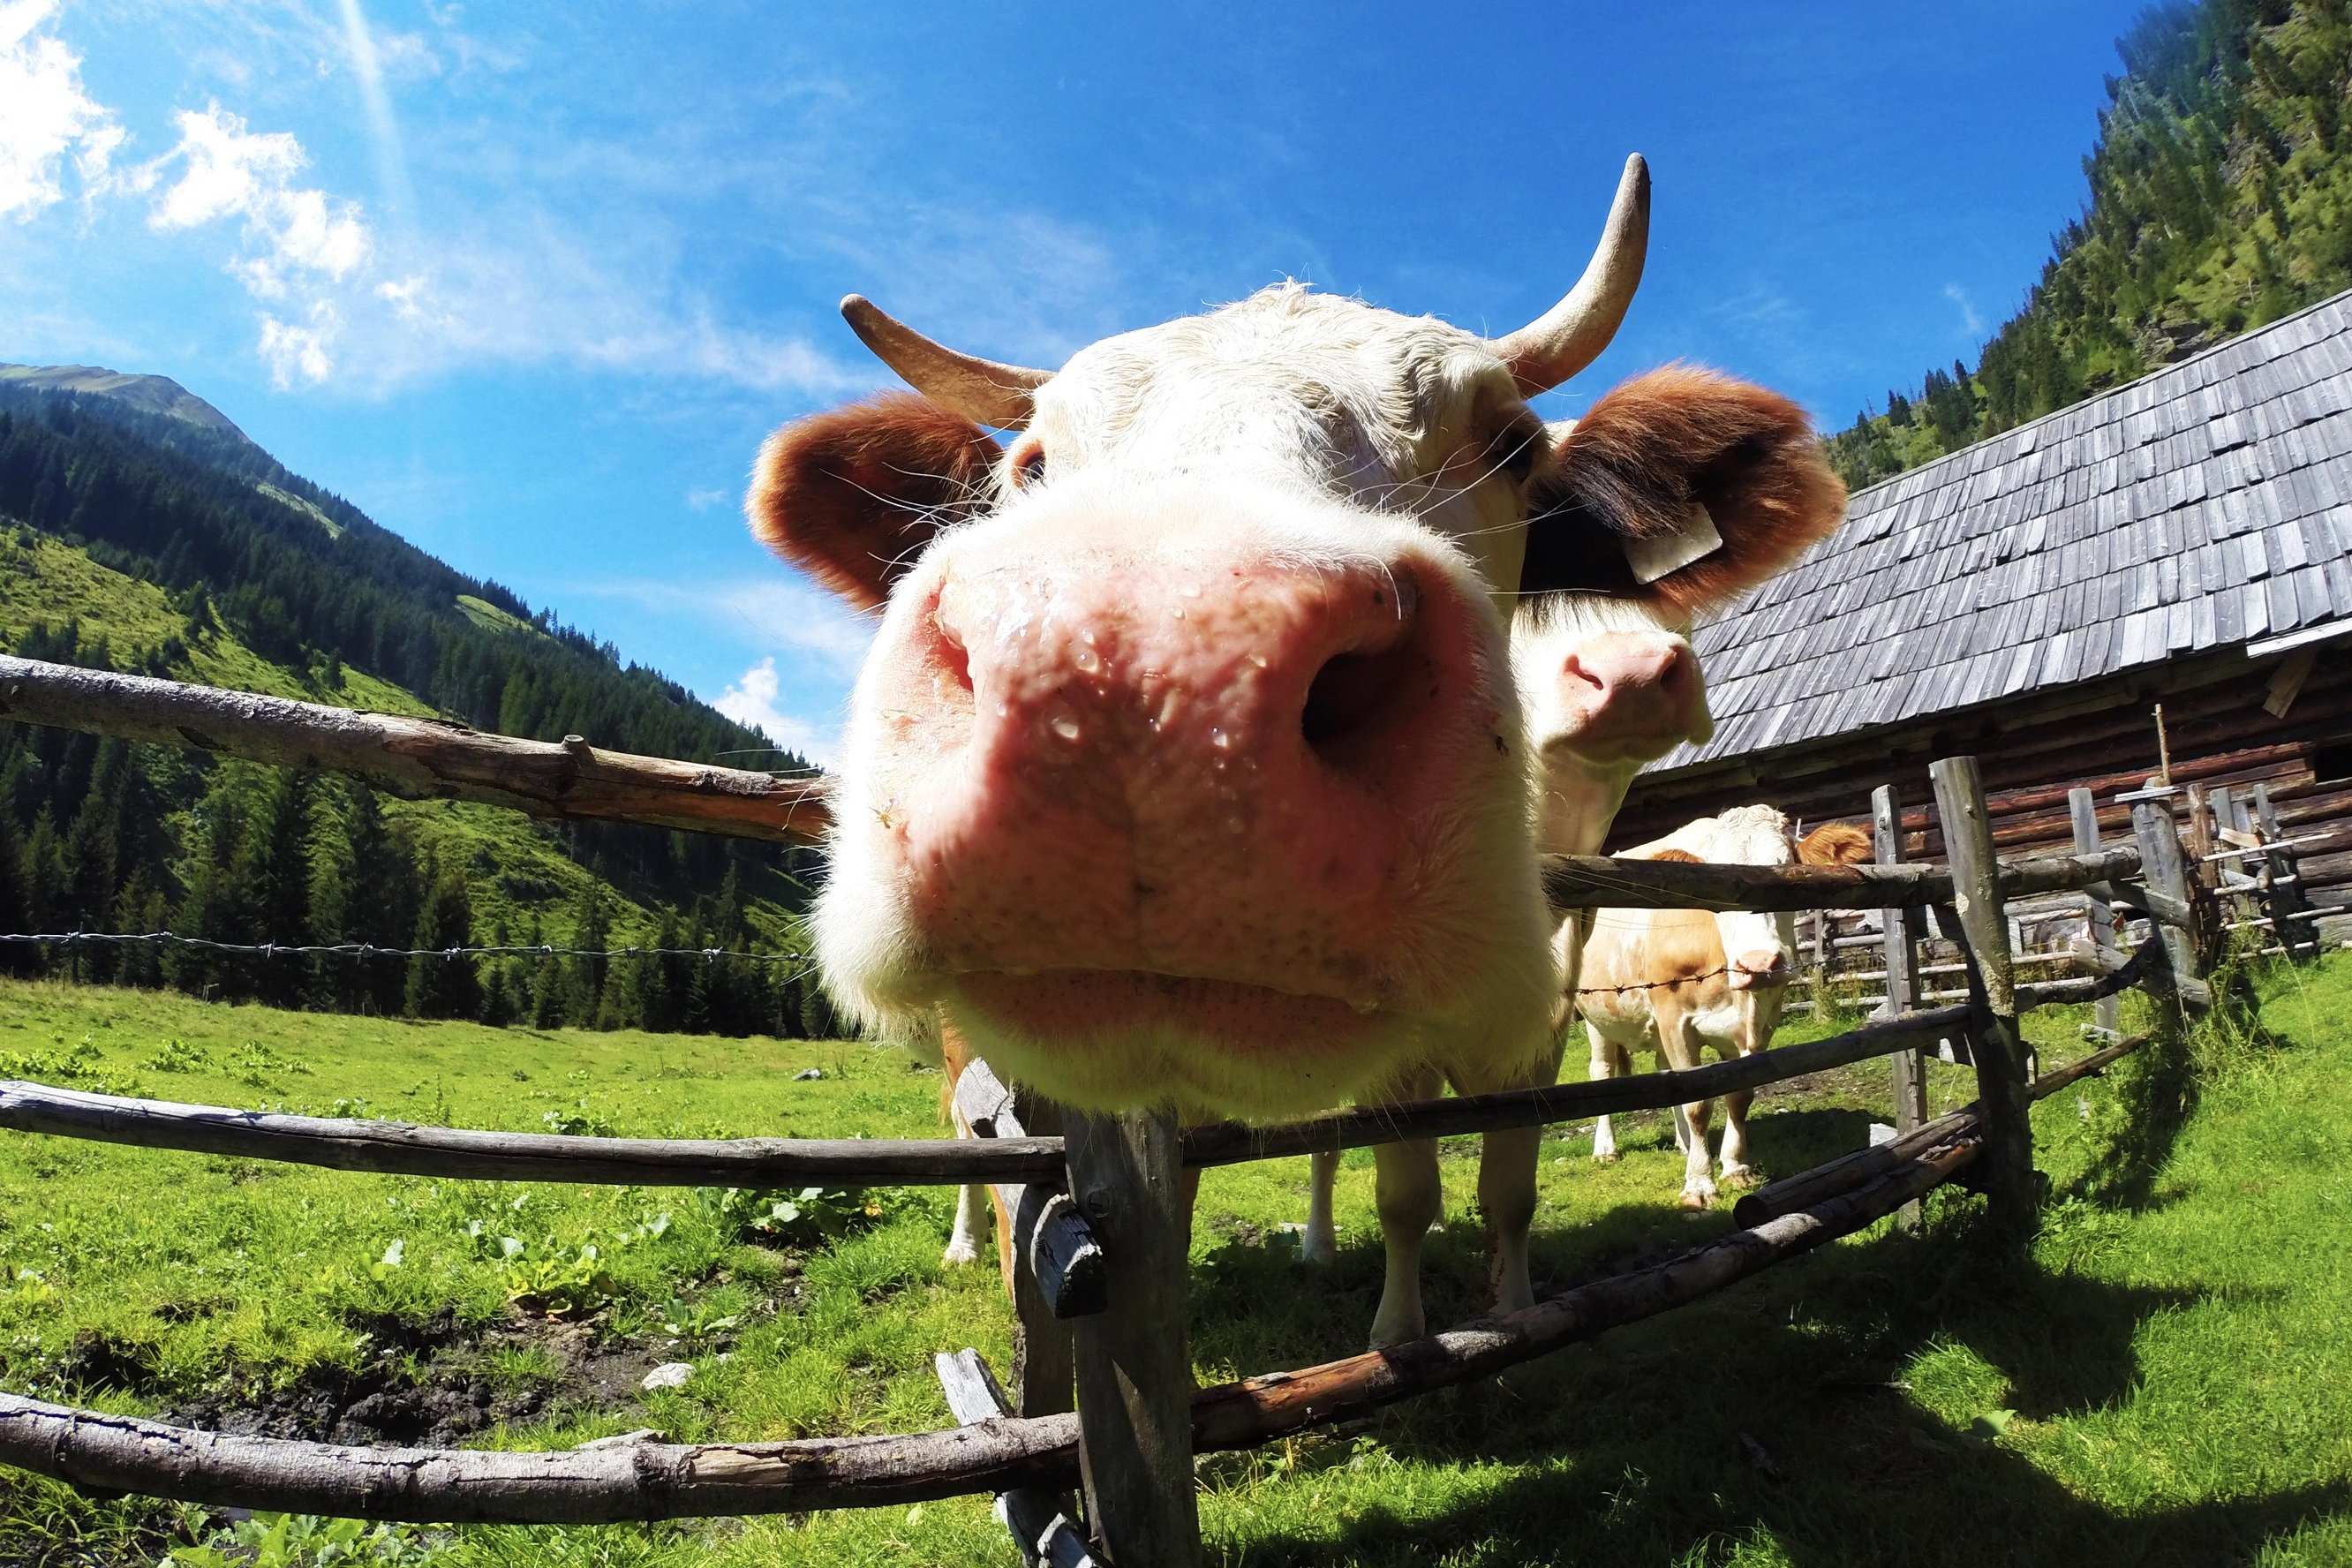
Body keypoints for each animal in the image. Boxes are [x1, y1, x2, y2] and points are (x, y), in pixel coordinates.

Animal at [1577, 807, 1873, 1208]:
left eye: (1787, 875)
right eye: (1718, 889)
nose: (1759, 962)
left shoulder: (1762, 1023)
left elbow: (1739, 1095)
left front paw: (1735, 1167)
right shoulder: (1675, 1019)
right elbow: (1698, 1105)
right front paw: (1699, 1185)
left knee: (1664, 1071)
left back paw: (1685, 1145)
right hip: (1596, 1018)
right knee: (1603, 1071)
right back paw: (1607, 1148)